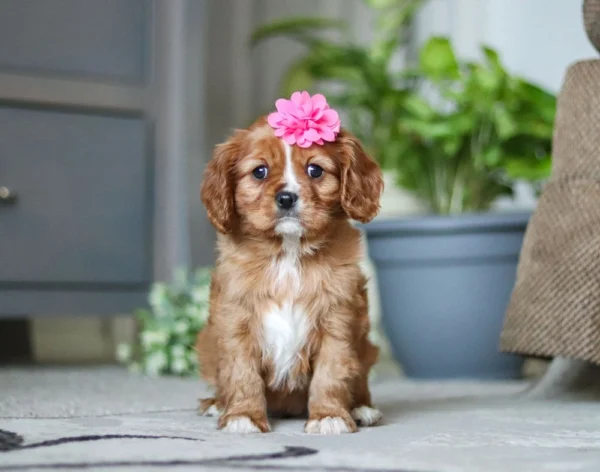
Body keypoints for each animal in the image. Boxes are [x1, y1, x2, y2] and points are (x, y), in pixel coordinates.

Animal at [197, 96, 384, 436]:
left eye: (315, 170)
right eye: (259, 172)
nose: (286, 198)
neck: (288, 253)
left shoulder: (338, 321)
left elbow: (331, 374)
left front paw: (329, 416)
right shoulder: (235, 322)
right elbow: (241, 372)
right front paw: (243, 415)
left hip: (365, 345)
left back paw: (363, 408)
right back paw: (217, 403)